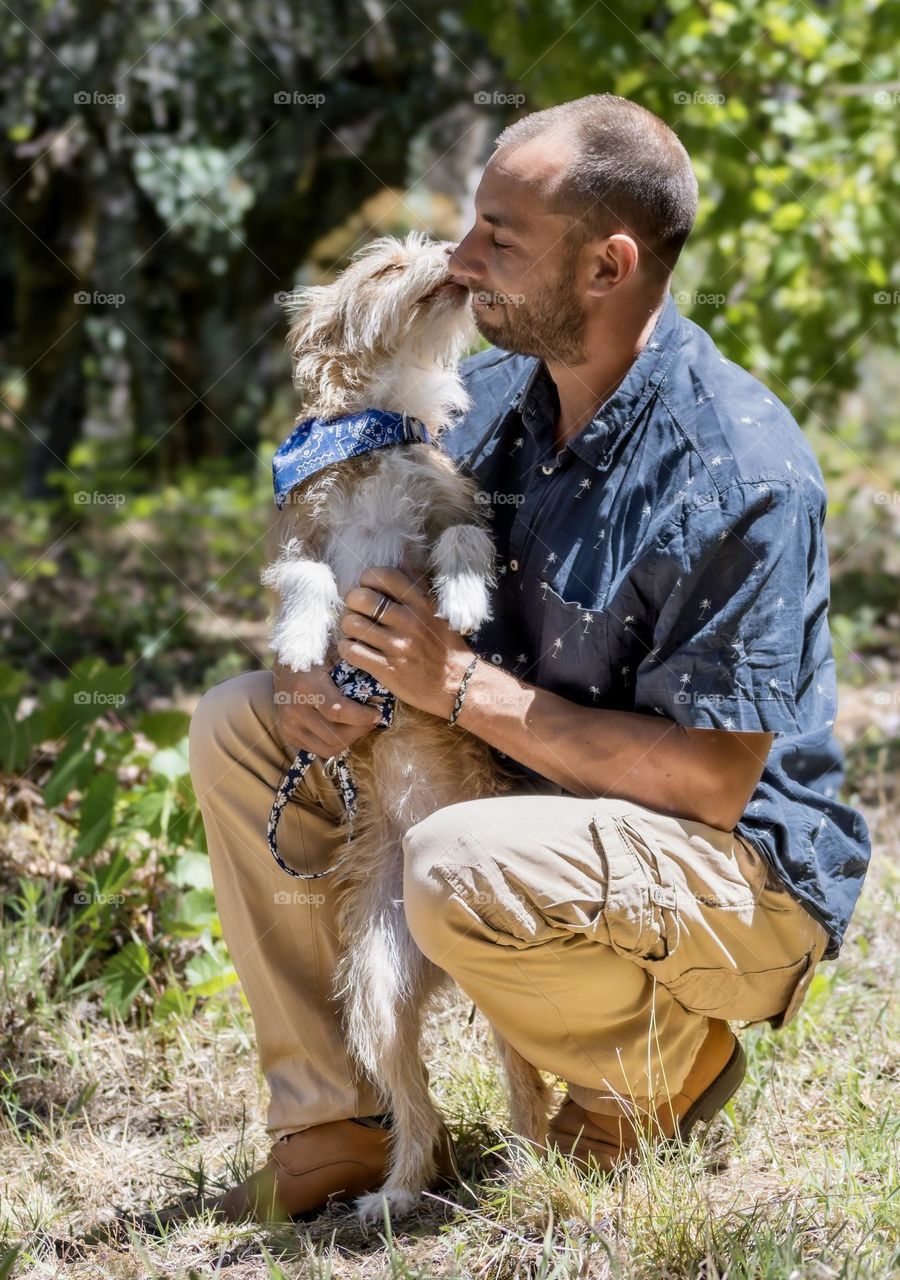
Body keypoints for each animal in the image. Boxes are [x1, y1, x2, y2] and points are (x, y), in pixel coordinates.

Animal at [261, 235, 553, 1223]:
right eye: (389, 267)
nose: (452, 259)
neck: (381, 422)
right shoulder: (298, 538)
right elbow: (310, 580)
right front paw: (304, 640)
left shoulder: (453, 507)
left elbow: (462, 546)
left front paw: (461, 605)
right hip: (378, 987)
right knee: (415, 1100)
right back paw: (394, 1194)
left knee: (525, 1077)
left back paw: (532, 1169)